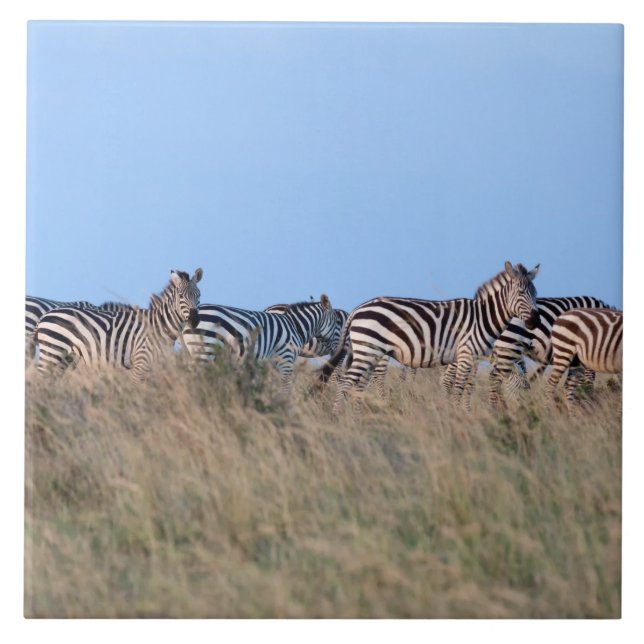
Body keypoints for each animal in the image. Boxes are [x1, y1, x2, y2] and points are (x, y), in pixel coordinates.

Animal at [35, 269, 203, 382]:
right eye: (180, 296)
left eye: (199, 295)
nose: (194, 319)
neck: (159, 325)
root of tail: (44, 316)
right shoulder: (140, 363)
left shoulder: (151, 366)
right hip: (53, 351)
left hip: (65, 357)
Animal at [182, 295, 340, 395]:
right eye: (337, 324)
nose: (339, 350)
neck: (295, 326)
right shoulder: (286, 359)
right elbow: (286, 389)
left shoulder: (270, 365)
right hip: (205, 350)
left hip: (194, 351)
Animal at [319, 261, 540, 414]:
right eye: (521, 292)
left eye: (536, 293)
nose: (535, 321)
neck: (483, 317)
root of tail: (357, 309)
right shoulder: (466, 353)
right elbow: (458, 388)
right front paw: (457, 417)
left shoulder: (475, 357)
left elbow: (468, 387)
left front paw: (465, 414)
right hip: (367, 350)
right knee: (346, 383)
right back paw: (337, 418)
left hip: (369, 353)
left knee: (358, 385)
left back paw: (357, 419)